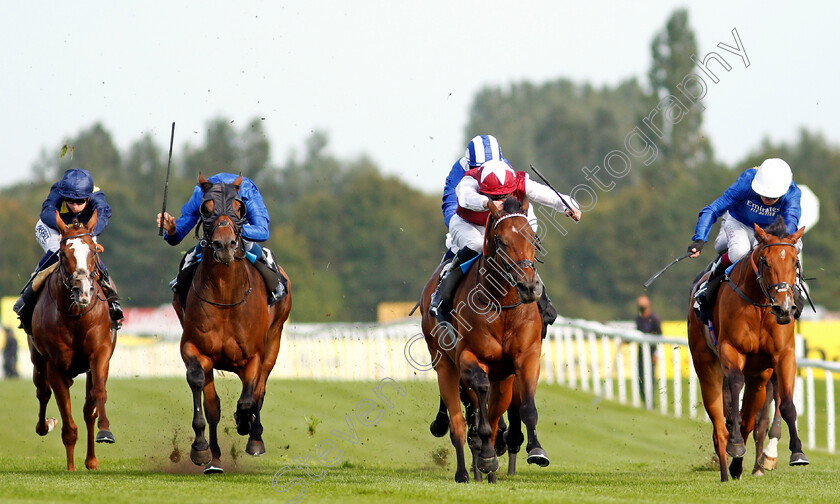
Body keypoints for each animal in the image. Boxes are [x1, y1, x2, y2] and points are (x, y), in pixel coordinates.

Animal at [29, 211, 116, 470]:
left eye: (93, 251)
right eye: (64, 254)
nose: (83, 291)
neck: (77, 315)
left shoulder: (100, 353)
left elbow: (98, 394)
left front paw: (105, 432)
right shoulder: (54, 364)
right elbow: (67, 421)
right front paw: (70, 468)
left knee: (88, 410)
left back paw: (91, 461)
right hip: (37, 360)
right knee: (42, 392)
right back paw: (45, 425)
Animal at [177, 173, 292, 472]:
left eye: (240, 209)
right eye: (205, 208)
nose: (225, 245)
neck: (225, 295)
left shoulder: (254, 354)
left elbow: (250, 399)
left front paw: (246, 426)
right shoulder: (193, 347)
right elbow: (203, 392)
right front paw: (201, 449)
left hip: (274, 341)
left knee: (259, 389)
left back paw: (254, 436)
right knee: (214, 405)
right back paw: (215, 457)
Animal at [418, 196, 544, 480]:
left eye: (532, 237)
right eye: (501, 240)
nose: (529, 286)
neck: (503, 305)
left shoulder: (526, 357)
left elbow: (526, 406)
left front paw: (535, 449)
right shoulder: (469, 357)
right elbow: (480, 395)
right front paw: (486, 454)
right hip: (444, 365)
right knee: (458, 423)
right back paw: (465, 472)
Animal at [688, 216, 808, 480]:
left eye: (795, 262)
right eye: (765, 261)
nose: (784, 308)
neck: (761, 306)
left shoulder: (782, 356)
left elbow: (785, 405)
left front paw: (797, 452)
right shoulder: (731, 350)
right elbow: (735, 385)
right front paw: (735, 446)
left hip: (759, 376)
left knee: (751, 419)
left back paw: (740, 464)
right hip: (705, 363)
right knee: (719, 419)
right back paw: (727, 463)